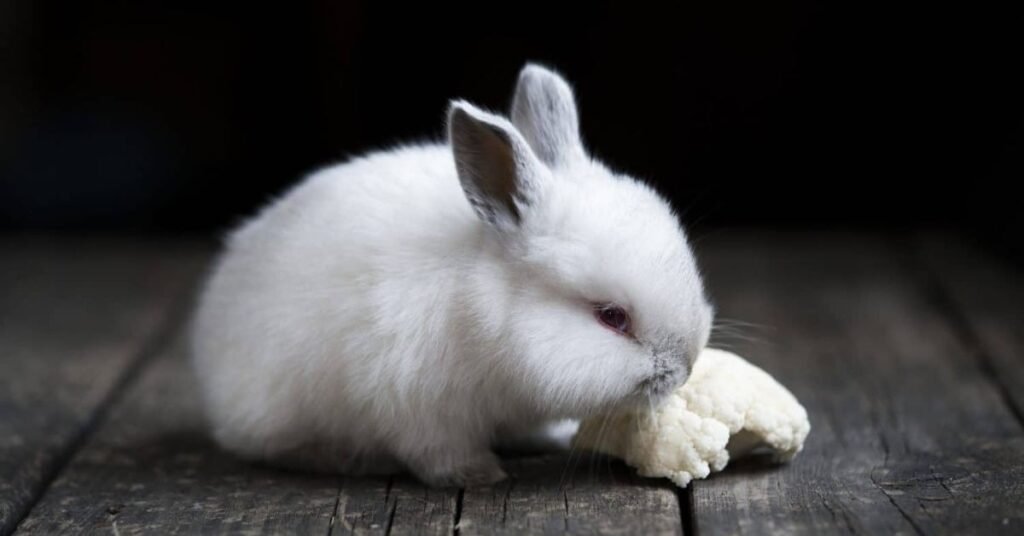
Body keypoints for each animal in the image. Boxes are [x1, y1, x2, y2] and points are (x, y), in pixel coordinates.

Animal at [190, 63, 714, 487]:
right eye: (611, 317)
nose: (684, 370)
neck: (481, 320)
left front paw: (554, 438)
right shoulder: (415, 407)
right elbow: (439, 453)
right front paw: (479, 476)